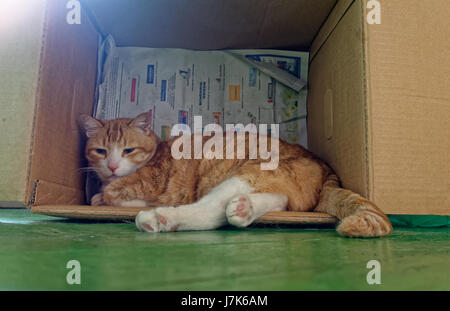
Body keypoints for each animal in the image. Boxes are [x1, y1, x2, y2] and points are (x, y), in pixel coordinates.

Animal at [79, 113, 392, 238]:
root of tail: (326, 166)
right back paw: (245, 209)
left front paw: (109, 197)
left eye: (128, 150)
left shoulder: (152, 184)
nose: (112, 166)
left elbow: (112, 194)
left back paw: (159, 219)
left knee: (209, 210)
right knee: (278, 201)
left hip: (242, 171)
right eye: (101, 151)